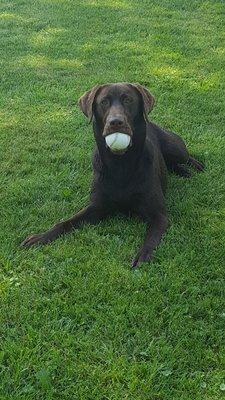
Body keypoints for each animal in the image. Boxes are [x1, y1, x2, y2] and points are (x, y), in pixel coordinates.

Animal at [21, 82, 204, 268]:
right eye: (104, 102)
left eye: (128, 100)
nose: (115, 122)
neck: (120, 164)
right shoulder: (96, 206)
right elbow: (66, 222)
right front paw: (41, 237)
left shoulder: (159, 215)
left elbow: (151, 237)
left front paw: (143, 254)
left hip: (175, 148)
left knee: (185, 156)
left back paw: (193, 167)